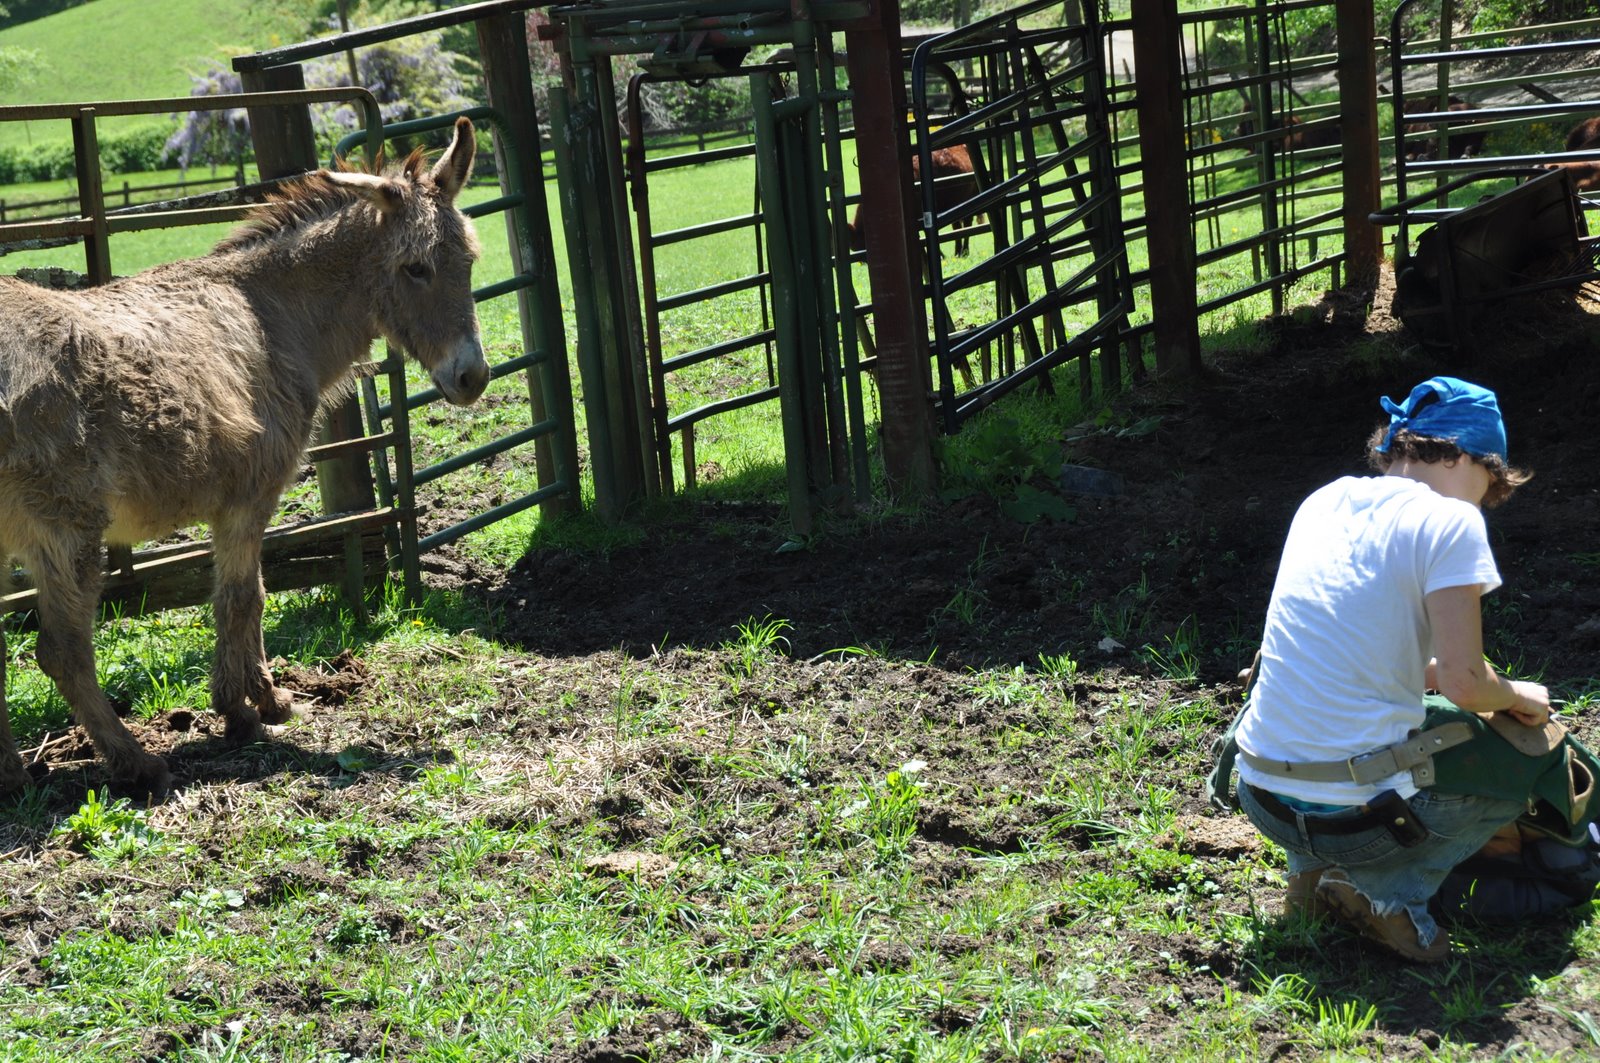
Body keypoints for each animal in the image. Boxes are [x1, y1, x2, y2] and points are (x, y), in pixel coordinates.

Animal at [0, 116, 490, 797]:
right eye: (414, 269)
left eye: (467, 262)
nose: (473, 378)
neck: (274, 312)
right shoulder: (250, 495)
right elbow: (244, 596)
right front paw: (255, 706)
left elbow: (239, 596)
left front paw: (248, 702)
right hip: (66, 527)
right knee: (65, 651)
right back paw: (135, 763)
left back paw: (10, 773)